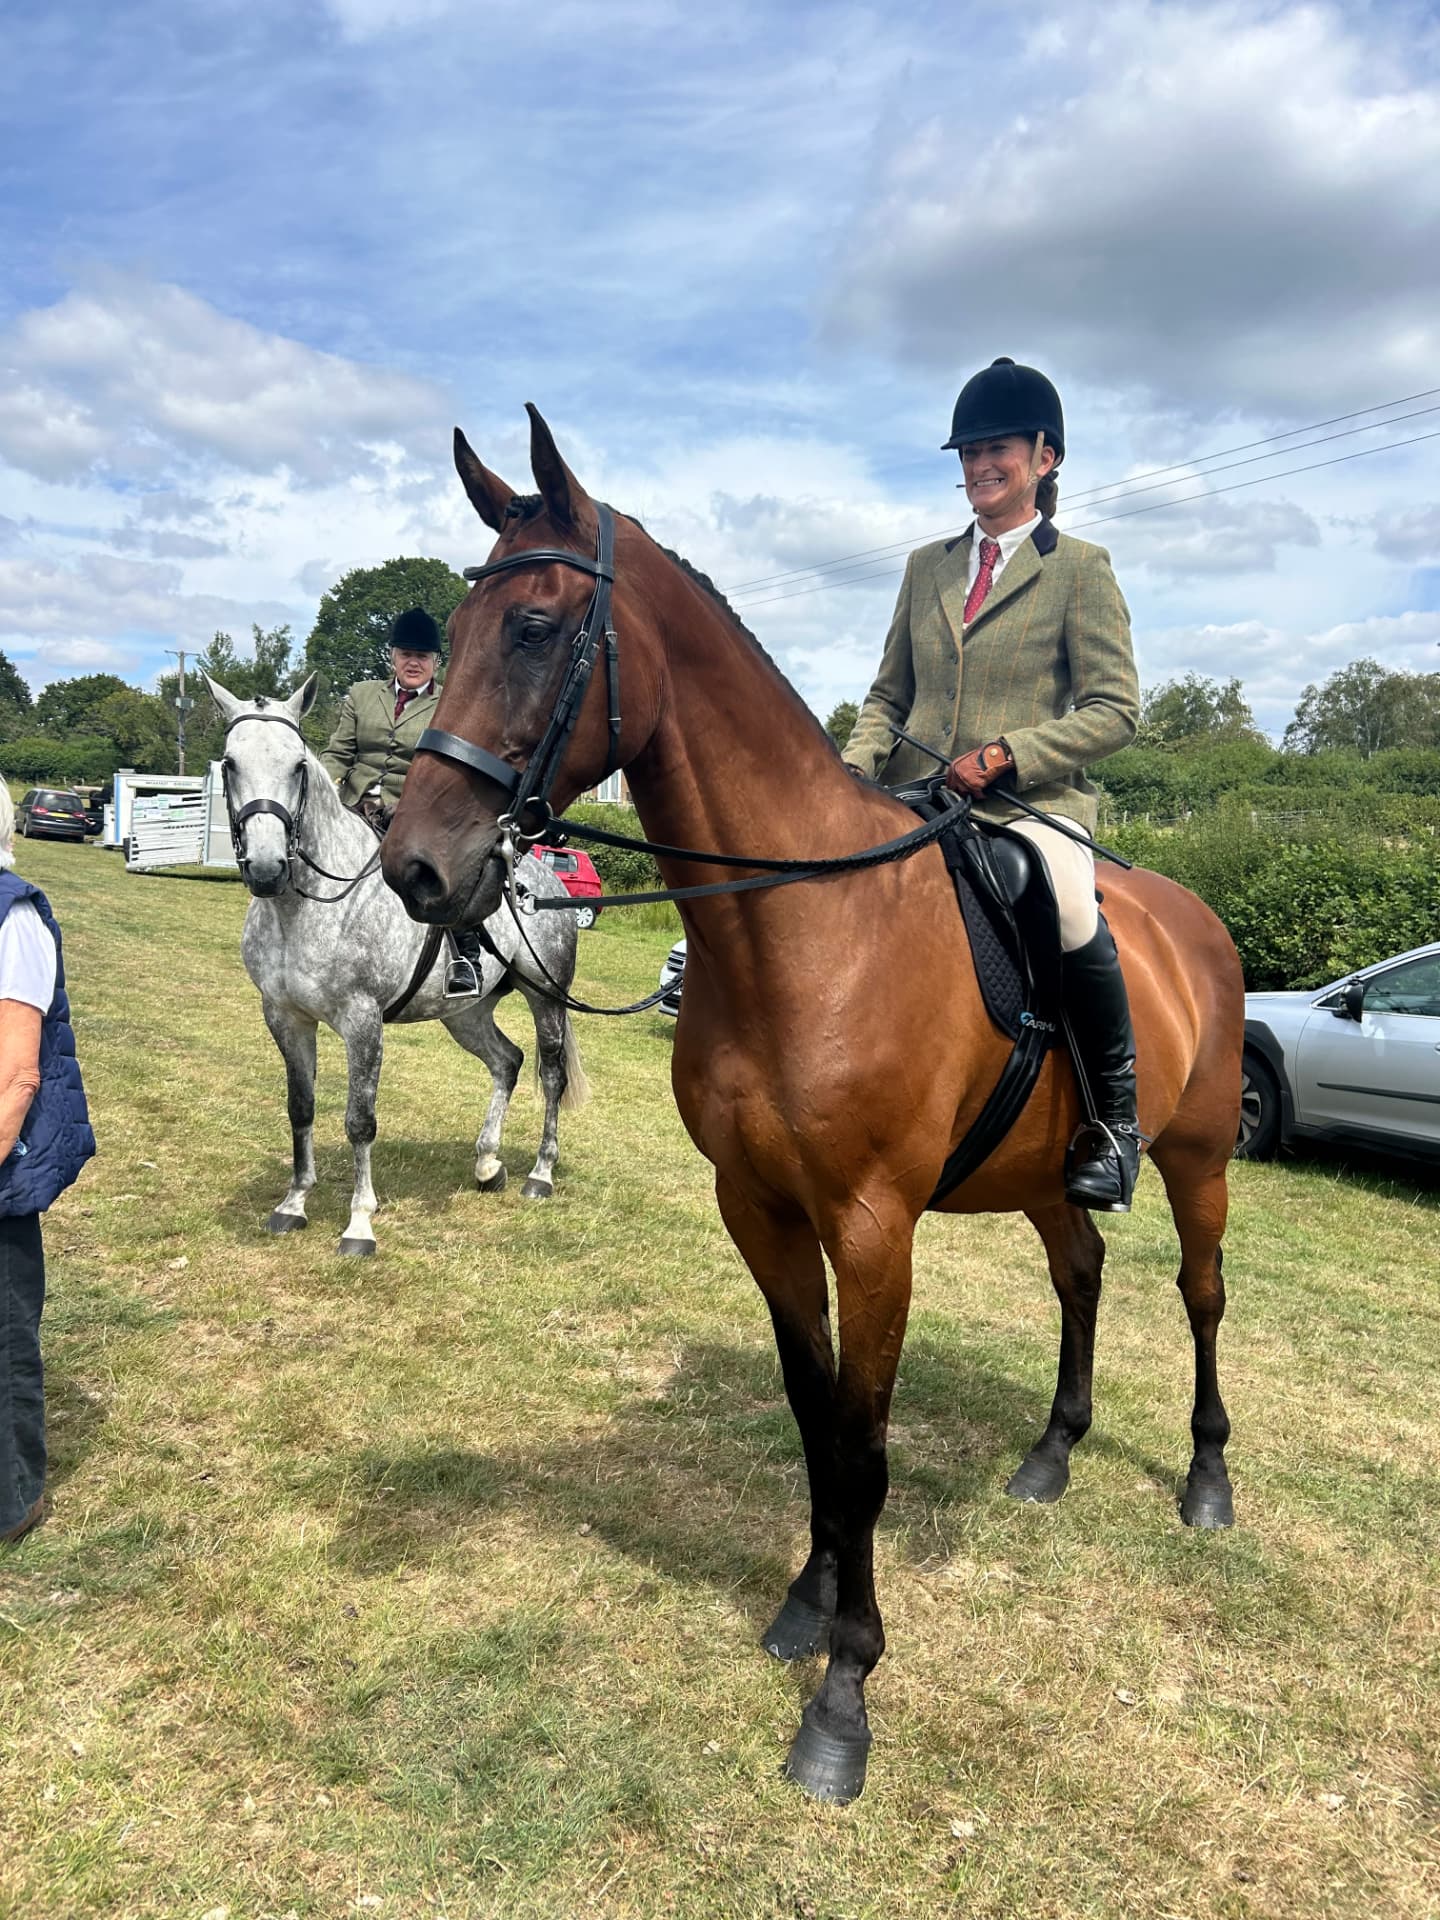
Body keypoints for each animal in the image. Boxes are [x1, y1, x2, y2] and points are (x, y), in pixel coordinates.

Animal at [207, 671, 589, 1258]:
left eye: (297, 766)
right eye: (229, 764)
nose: (267, 869)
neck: (309, 905)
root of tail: (545, 881)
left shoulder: (362, 1022)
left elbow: (360, 1120)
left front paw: (359, 1224)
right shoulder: (285, 1017)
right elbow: (301, 1107)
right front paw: (293, 1203)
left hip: (544, 997)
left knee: (549, 1074)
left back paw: (540, 1174)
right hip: (466, 1014)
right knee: (507, 1061)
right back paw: (487, 1163)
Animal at [379, 409, 1244, 1804]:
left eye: (539, 627)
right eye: (450, 635)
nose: (416, 866)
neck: (804, 926)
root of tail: (1196, 918)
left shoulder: (873, 1226)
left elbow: (867, 1436)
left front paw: (844, 1696)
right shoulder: (761, 1207)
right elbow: (812, 1411)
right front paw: (805, 1601)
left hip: (1200, 1157)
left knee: (1201, 1294)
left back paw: (1208, 1483)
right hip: (1042, 1175)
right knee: (1082, 1269)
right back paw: (1053, 1453)